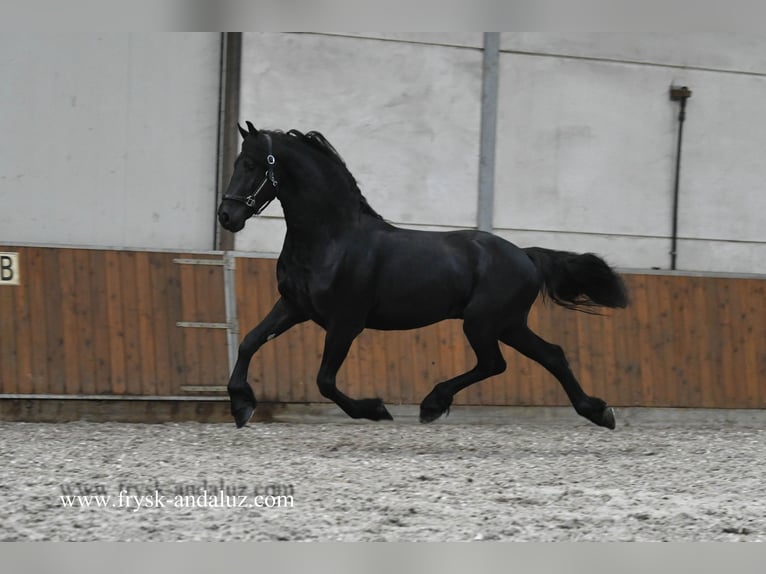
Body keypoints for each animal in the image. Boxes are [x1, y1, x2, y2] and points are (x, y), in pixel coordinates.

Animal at [217, 122, 628, 429]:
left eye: (251, 164)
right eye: (238, 162)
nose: (226, 216)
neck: (333, 239)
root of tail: (526, 256)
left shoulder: (346, 322)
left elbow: (325, 381)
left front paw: (375, 409)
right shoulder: (293, 306)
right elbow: (249, 342)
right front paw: (241, 405)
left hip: (483, 323)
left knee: (495, 364)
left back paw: (432, 403)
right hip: (508, 324)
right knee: (551, 355)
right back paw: (598, 411)